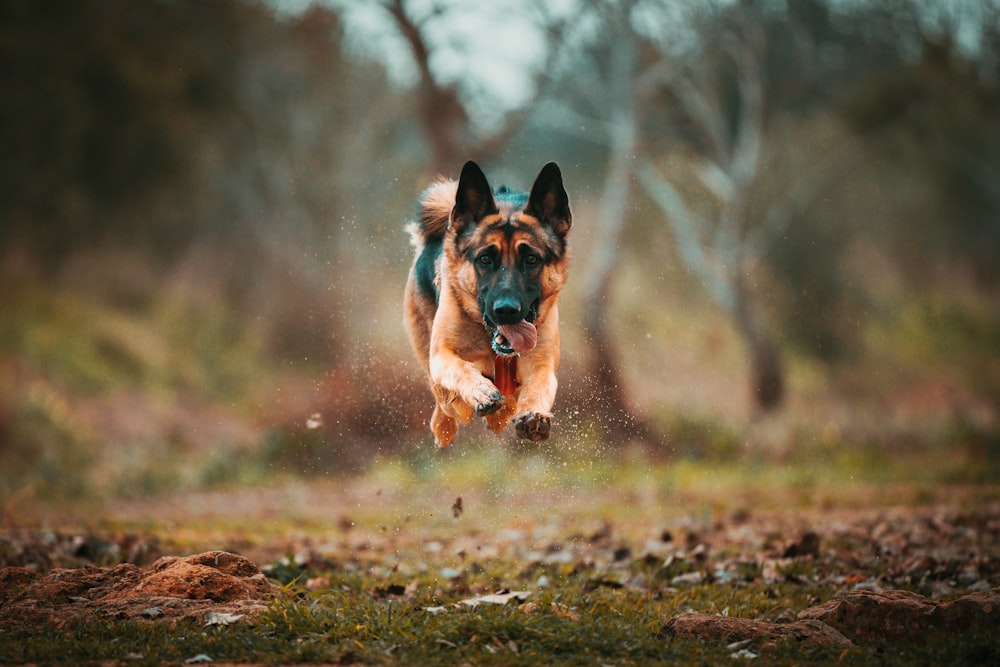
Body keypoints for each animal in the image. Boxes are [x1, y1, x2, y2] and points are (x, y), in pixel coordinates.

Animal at [400, 160, 572, 448]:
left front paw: (533, 414)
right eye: (485, 259)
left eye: (532, 259)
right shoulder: (442, 356)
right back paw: (449, 426)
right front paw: (482, 393)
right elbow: (462, 370)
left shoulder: (542, 365)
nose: (506, 310)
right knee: (445, 405)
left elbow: (538, 388)